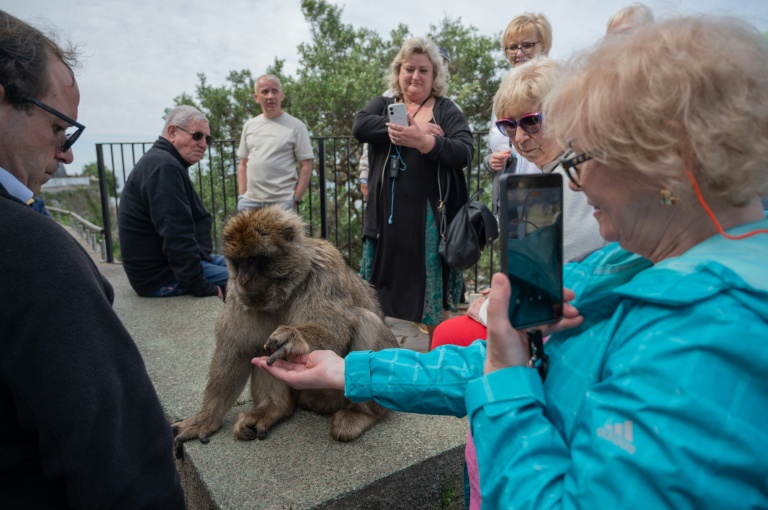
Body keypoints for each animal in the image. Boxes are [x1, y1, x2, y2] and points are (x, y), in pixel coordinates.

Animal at [172, 205, 398, 454]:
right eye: (239, 262)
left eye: (255, 259)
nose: (244, 279)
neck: (286, 290)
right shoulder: (237, 293)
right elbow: (236, 350)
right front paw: (206, 418)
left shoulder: (325, 270)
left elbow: (336, 326)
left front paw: (294, 338)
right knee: (260, 344)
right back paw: (275, 407)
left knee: (368, 320)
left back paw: (363, 414)